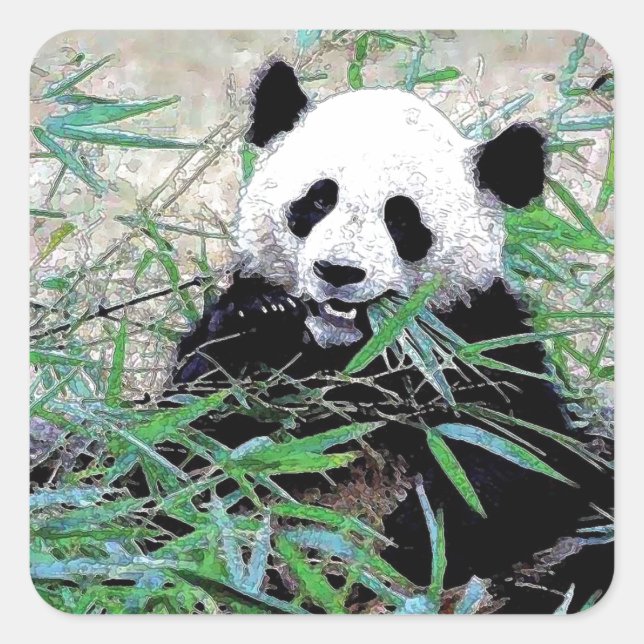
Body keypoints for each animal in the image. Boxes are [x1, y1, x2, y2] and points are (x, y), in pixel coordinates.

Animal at [170, 61, 613, 613]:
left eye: (401, 217)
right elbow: (187, 435)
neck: (353, 352)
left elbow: (520, 459)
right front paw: (262, 319)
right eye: (319, 198)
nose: (339, 271)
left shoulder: (477, 346)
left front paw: (405, 535)